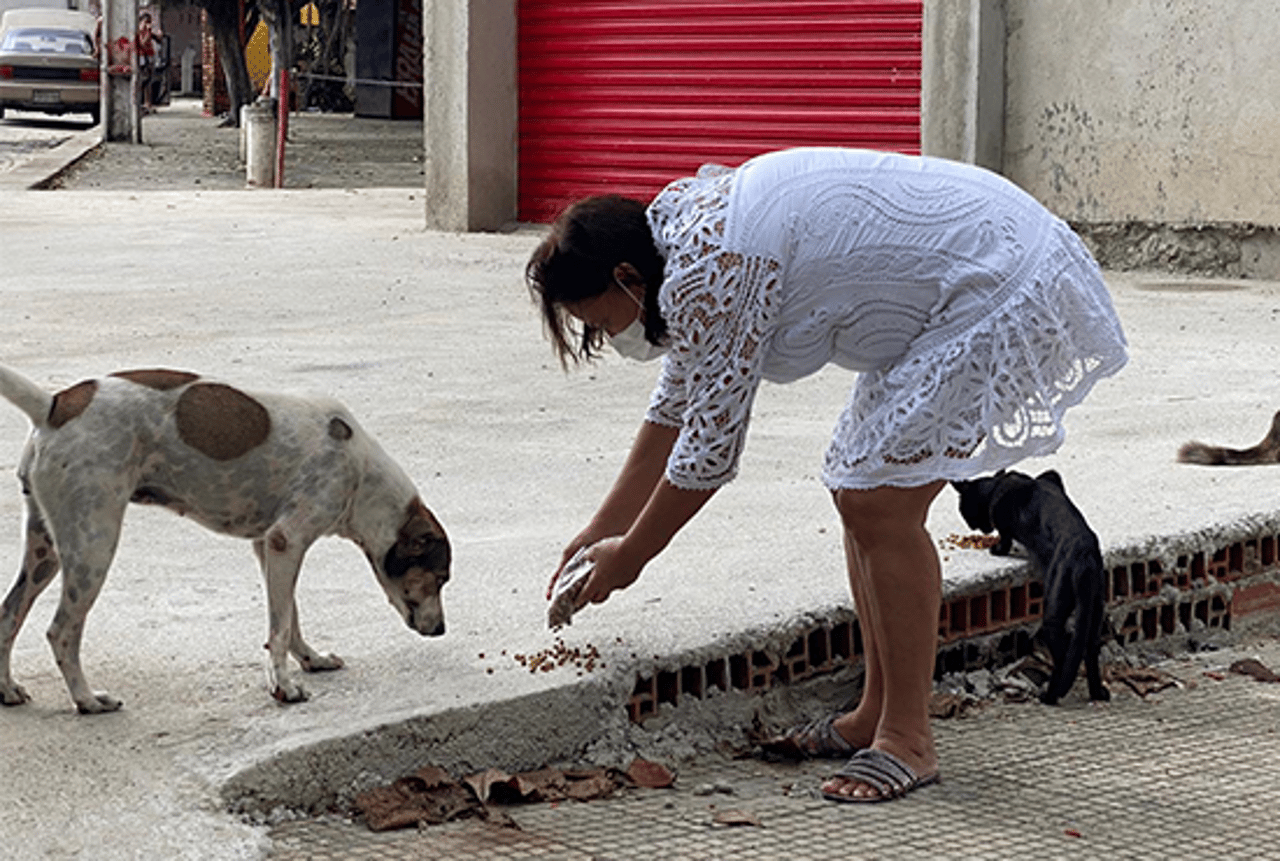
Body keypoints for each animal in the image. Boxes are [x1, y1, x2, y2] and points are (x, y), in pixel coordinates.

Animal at [0, 363, 450, 711]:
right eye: (441, 578)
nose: (443, 630)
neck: (360, 473)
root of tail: (54, 405)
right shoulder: (287, 541)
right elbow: (279, 628)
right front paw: (283, 687)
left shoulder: (269, 548)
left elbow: (290, 617)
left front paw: (311, 659)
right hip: (93, 546)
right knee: (61, 631)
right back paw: (87, 699)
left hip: (45, 551)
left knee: (8, 614)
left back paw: (7, 690)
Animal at [952, 470, 1111, 706]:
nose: (976, 528)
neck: (997, 484)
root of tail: (1084, 551)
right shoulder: (1052, 475)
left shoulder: (1003, 522)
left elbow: (1004, 539)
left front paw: (996, 549)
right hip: (1095, 610)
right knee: (1091, 651)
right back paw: (1097, 693)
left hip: (1054, 612)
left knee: (1062, 657)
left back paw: (1050, 696)